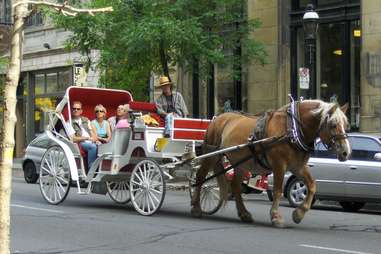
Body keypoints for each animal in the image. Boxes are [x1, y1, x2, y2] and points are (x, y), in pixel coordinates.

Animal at [190, 98, 350, 226]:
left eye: (346, 124)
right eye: (333, 124)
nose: (346, 152)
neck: (292, 130)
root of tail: (217, 118)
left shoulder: (297, 166)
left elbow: (312, 185)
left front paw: (298, 214)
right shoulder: (279, 164)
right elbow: (278, 190)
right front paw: (275, 217)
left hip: (240, 163)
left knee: (235, 186)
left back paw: (244, 213)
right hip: (211, 156)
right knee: (200, 177)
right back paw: (196, 208)